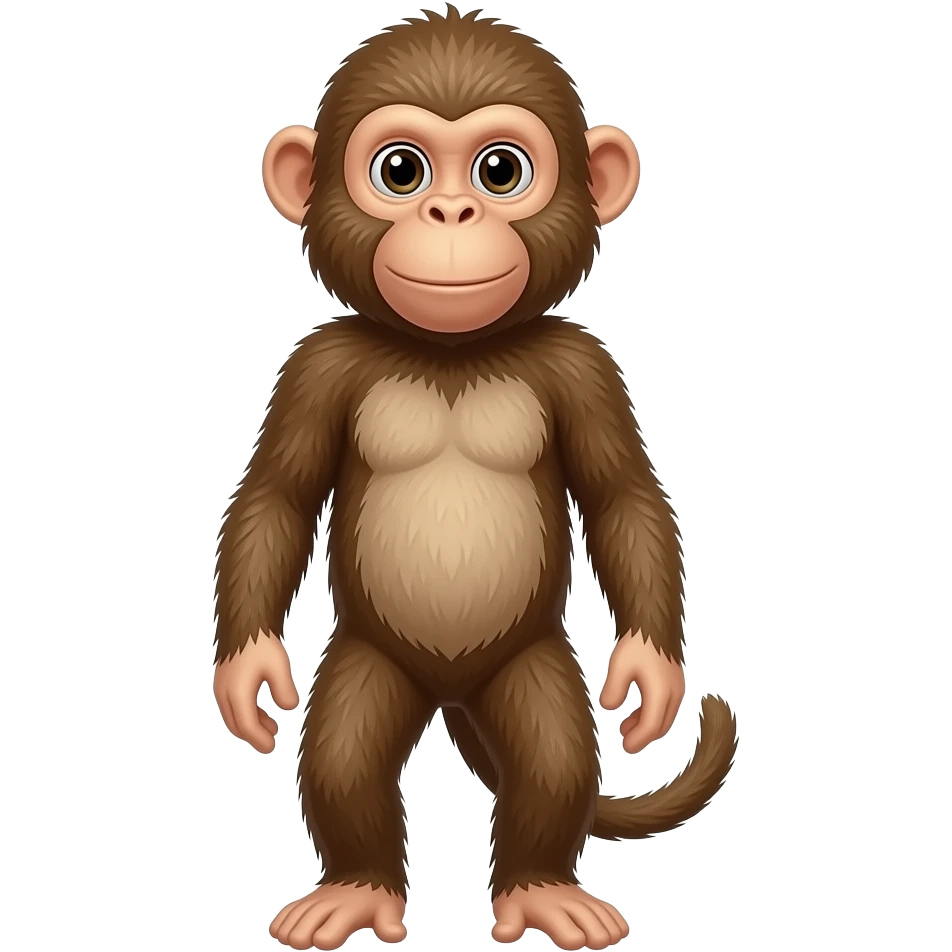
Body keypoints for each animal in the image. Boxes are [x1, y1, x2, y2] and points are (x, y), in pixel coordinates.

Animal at [214, 7, 737, 951]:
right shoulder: (316, 365)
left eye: (501, 170)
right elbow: (277, 494)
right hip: (372, 657)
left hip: (528, 661)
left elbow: (623, 497)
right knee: (344, 752)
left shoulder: (584, 365)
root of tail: (450, 692)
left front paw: (651, 675)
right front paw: (249, 675)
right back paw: (356, 889)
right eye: (400, 169)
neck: (451, 352)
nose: (450, 209)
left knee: (551, 754)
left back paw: (542, 888)